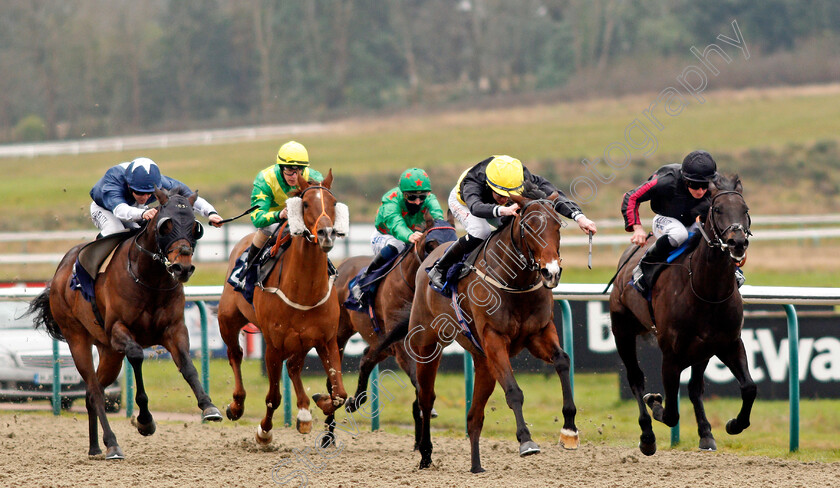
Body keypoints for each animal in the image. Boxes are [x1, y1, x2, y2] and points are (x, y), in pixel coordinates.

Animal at [27, 187, 220, 462]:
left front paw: (208, 406)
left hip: (109, 353)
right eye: (166, 225)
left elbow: (188, 366)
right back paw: (112, 444)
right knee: (95, 390)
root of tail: (60, 273)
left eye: (195, 227)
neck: (150, 278)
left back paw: (95, 447)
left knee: (91, 392)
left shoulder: (174, 329)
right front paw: (145, 421)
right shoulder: (119, 331)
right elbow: (137, 357)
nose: (182, 268)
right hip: (77, 339)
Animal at [217, 173, 352, 446]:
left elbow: (340, 393)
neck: (304, 290)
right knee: (235, 354)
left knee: (293, 366)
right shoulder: (274, 345)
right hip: (228, 319)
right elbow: (273, 397)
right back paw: (237, 405)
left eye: (333, 203)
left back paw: (304, 412)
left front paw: (319, 402)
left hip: (302, 340)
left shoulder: (326, 339)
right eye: (306, 204)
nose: (327, 233)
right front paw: (264, 432)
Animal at [332, 212, 456, 448]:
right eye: (431, 244)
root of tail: (343, 265)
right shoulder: (400, 345)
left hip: (380, 343)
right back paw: (329, 435)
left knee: (367, 357)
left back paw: (356, 400)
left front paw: (419, 439)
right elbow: (418, 382)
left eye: (454, 241)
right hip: (341, 333)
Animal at [388, 191, 576, 472]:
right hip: (427, 346)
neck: (515, 282)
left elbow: (562, 361)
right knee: (426, 398)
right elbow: (513, 391)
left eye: (557, 226)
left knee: (474, 415)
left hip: (483, 362)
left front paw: (569, 429)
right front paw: (526, 440)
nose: (551, 272)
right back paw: (426, 453)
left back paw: (476, 466)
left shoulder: (539, 333)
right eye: (529, 227)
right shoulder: (494, 339)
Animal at [604, 173, 756, 456]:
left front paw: (733, 424)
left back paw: (706, 434)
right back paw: (647, 436)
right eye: (718, 209)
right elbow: (671, 412)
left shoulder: (729, 343)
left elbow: (749, 387)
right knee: (635, 378)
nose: (737, 242)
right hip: (622, 331)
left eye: (745, 209)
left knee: (695, 388)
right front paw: (654, 402)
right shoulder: (671, 356)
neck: (706, 291)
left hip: (702, 351)